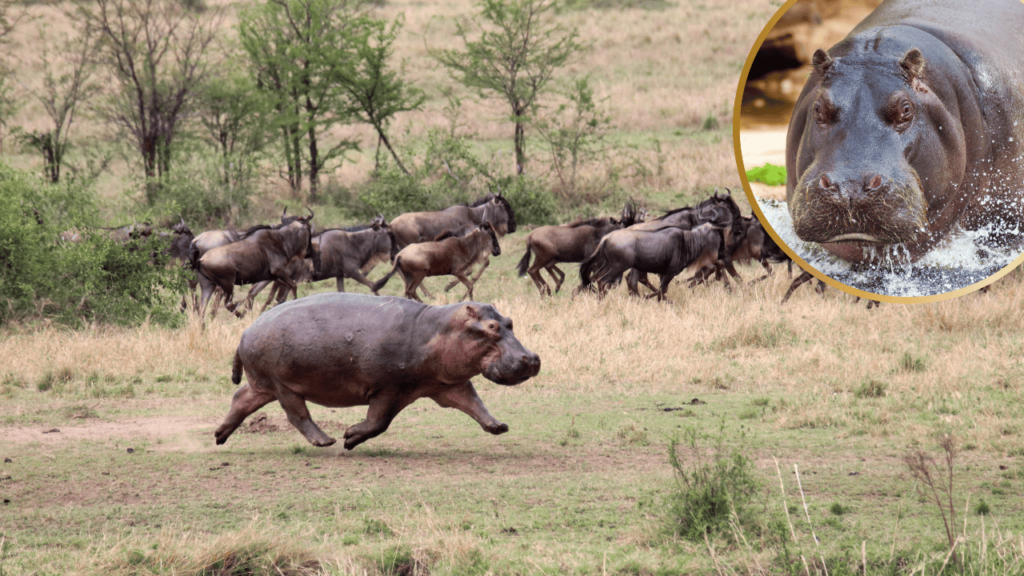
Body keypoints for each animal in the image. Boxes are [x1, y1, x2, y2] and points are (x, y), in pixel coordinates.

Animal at [214, 292, 541, 450]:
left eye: (509, 321)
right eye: (492, 327)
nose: (532, 358)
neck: (438, 329)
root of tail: (245, 331)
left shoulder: (447, 384)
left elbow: (474, 403)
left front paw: (498, 426)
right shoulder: (390, 389)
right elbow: (378, 422)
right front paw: (349, 437)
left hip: (264, 384)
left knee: (241, 398)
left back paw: (219, 435)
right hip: (284, 385)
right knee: (297, 414)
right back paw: (326, 441)